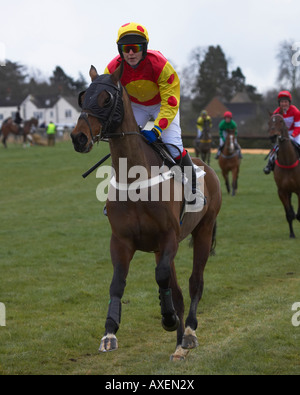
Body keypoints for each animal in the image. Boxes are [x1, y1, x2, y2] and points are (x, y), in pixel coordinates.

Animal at [69, 64, 221, 362]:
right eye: (84, 96)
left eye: (106, 98)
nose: (78, 137)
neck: (135, 179)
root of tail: (206, 166)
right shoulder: (122, 241)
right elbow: (118, 283)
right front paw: (109, 333)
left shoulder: (169, 237)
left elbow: (163, 279)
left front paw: (169, 318)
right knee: (178, 291)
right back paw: (178, 345)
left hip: (204, 230)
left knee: (195, 282)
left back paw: (188, 333)